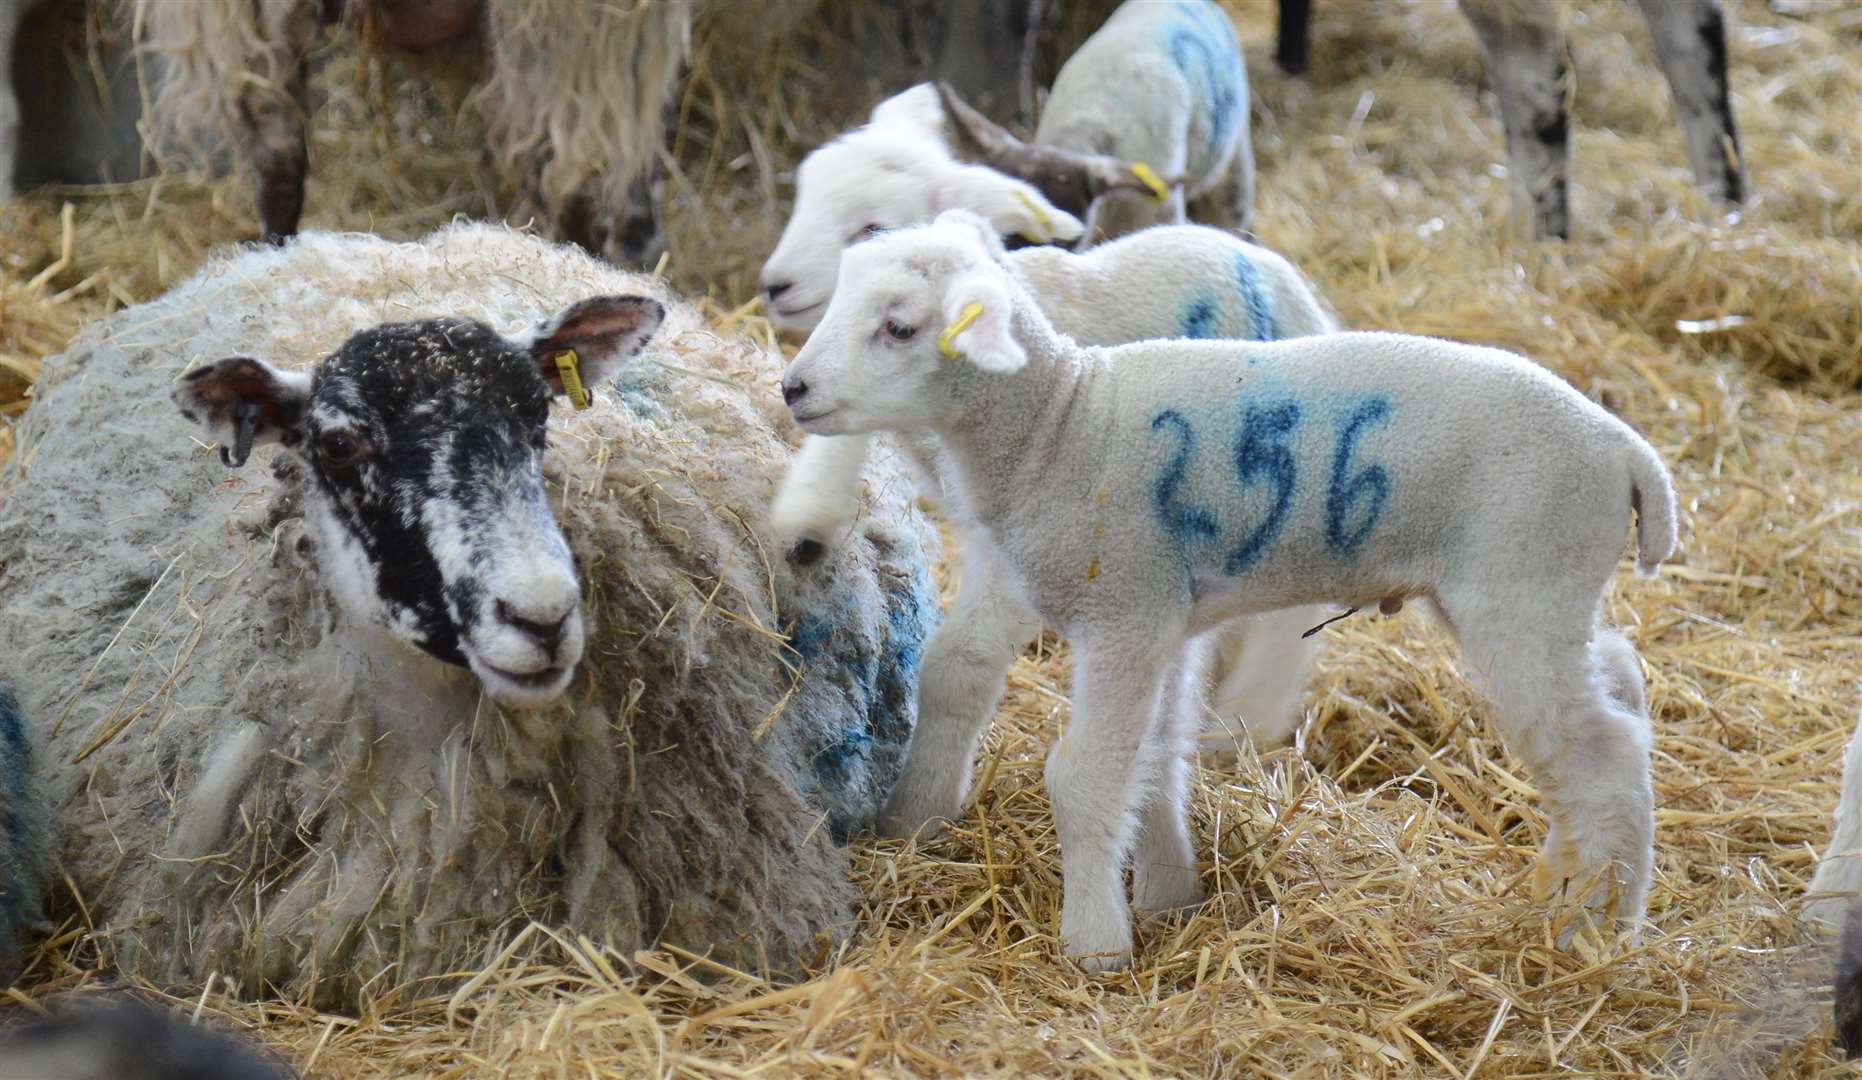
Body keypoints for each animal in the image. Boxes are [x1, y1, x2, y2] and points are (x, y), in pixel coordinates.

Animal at [778, 211, 1683, 968]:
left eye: (900, 325)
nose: (792, 389)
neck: (1060, 423)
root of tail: (1629, 452)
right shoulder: (1168, 620)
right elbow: (1157, 757)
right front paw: (1170, 894)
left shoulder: (1125, 611)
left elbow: (1087, 775)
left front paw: (1095, 943)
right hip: (1544, 589)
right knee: (1615, 689)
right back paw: (1570, 885)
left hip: (1521, 583)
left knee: (1601, 753)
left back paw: (1596, 929)